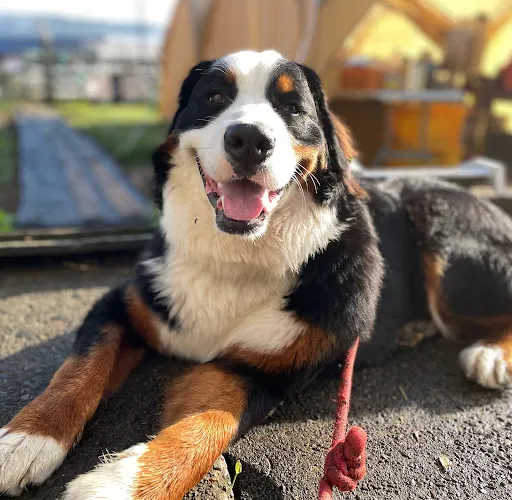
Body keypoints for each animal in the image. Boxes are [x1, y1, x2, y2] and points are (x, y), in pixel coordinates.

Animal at [1, 50, 511, 499]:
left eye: (292, 107)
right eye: (214, 97)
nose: (249, 139)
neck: (235, 256)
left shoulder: (266, 369)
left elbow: (207, 424)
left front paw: (120, 485)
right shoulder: (124, 303)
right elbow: (78, 369)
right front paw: (27, 439)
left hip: (446, 242)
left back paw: (489, 355)